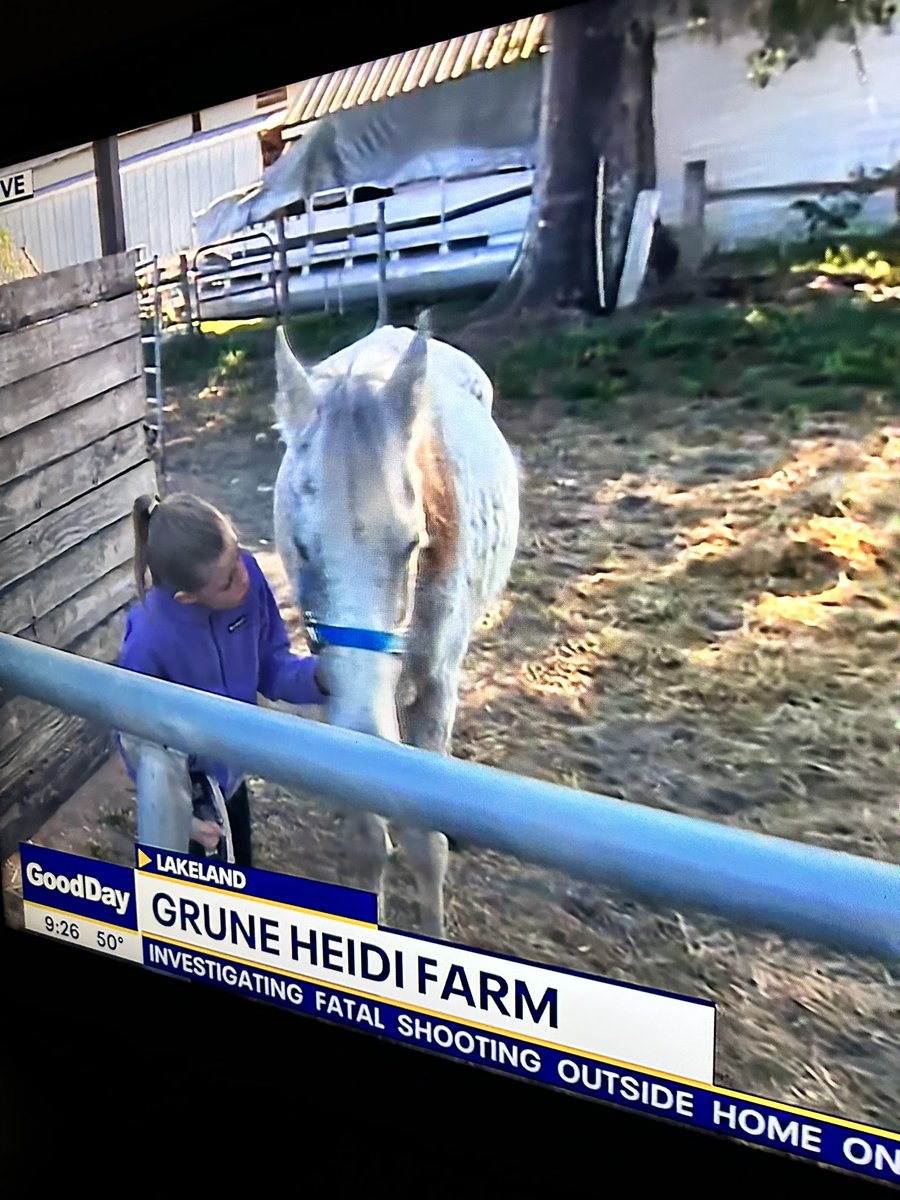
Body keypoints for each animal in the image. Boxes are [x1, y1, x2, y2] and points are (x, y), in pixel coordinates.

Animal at [271, 319, 518, 936]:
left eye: (412, 544)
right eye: (302, 548)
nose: (364, 734)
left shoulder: (433, 688)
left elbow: (426, 842)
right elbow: (368, 833)